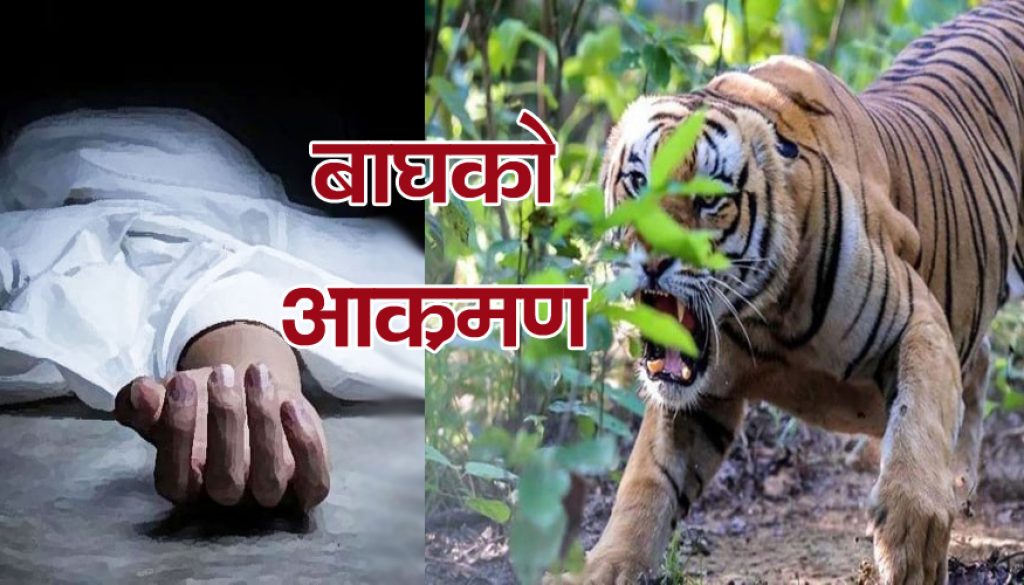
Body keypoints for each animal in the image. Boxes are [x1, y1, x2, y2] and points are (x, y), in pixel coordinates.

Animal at [555, 1, 1024, 583]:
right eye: (638, 181)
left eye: (708, 198)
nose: (651, 261)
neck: (764, 318)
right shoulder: (697, 399)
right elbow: (648, 478)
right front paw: (608, 566)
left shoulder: (917, 320)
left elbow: (919, 417)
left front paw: (910, 536)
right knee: (978, 360)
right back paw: (958, 483)